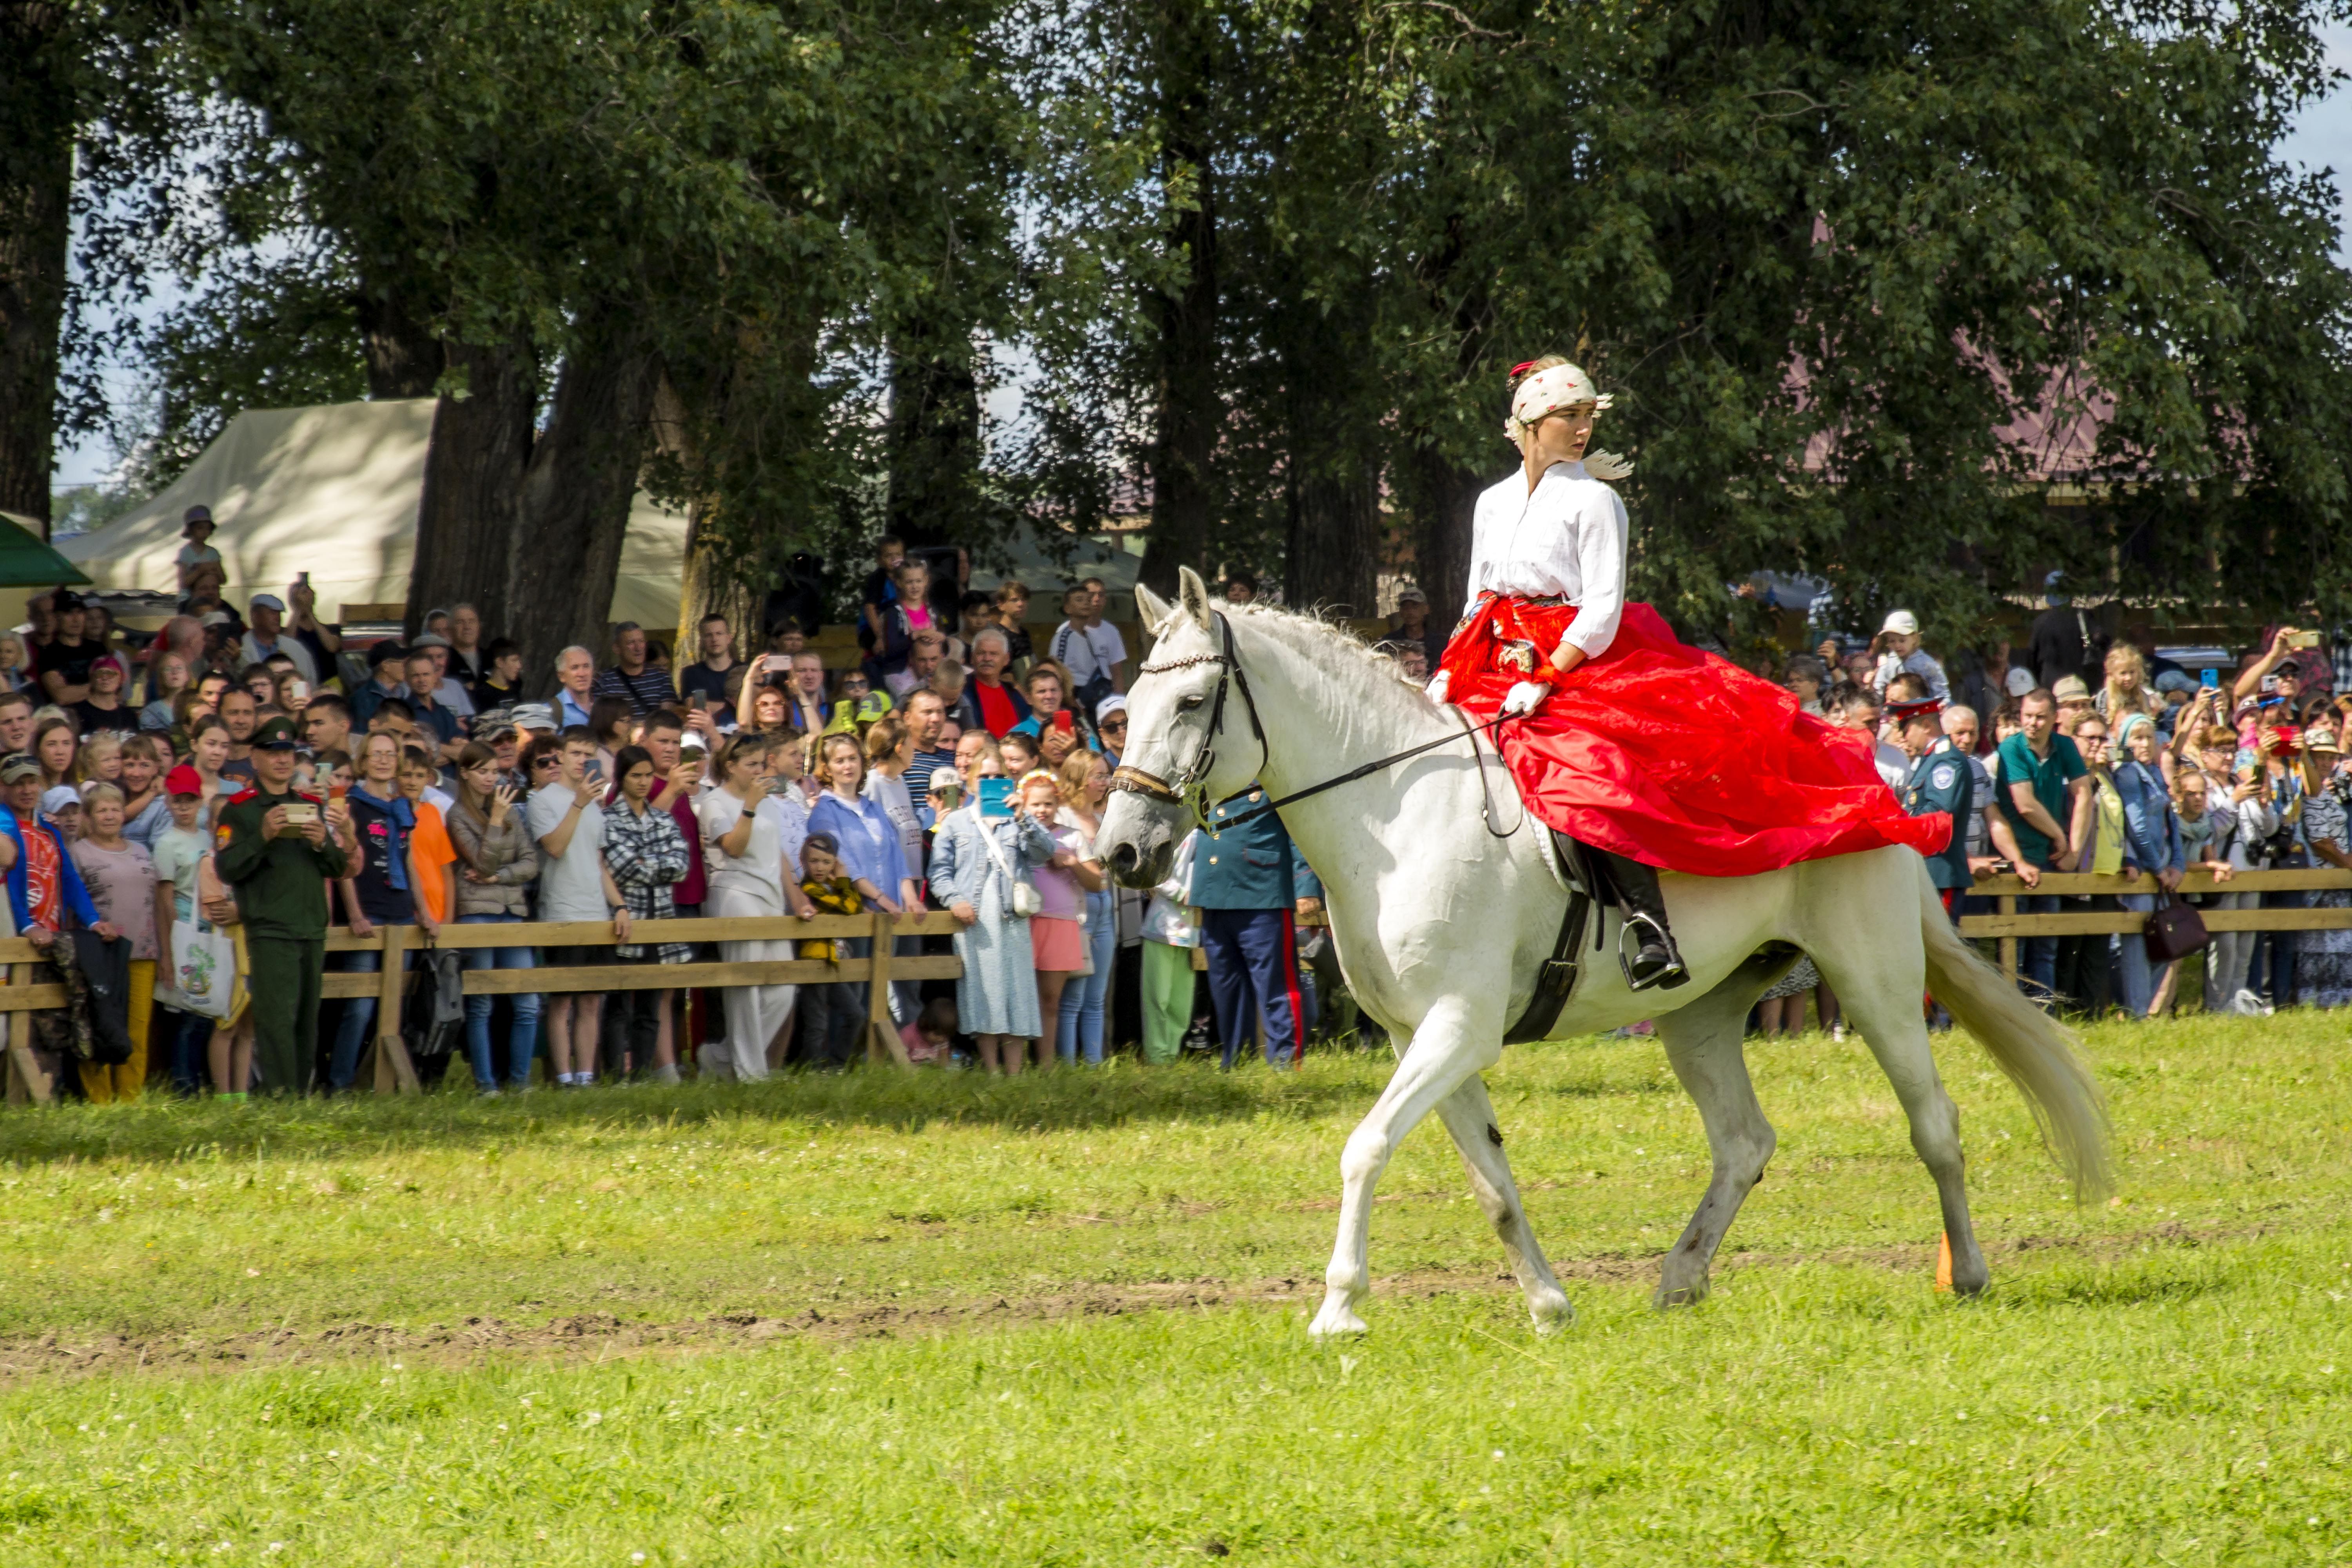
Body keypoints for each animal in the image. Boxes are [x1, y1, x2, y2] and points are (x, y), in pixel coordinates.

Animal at [1101, 571, 2117, 1345]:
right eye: (1130, 706)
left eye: (1189, 703)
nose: (1121, 852)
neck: (1395, 812)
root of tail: (1876, 784)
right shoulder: (1418, 1037)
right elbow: (1492, 1183)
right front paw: (1550, 1305)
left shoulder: (1457, 1028)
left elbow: (1365, 1147)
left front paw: (1339, 1308)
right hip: (1700, 1012)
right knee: (1744, 1142)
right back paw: (1680, 1277)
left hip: (1875, 983)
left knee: (1933, 1122)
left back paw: (1968, 1272)